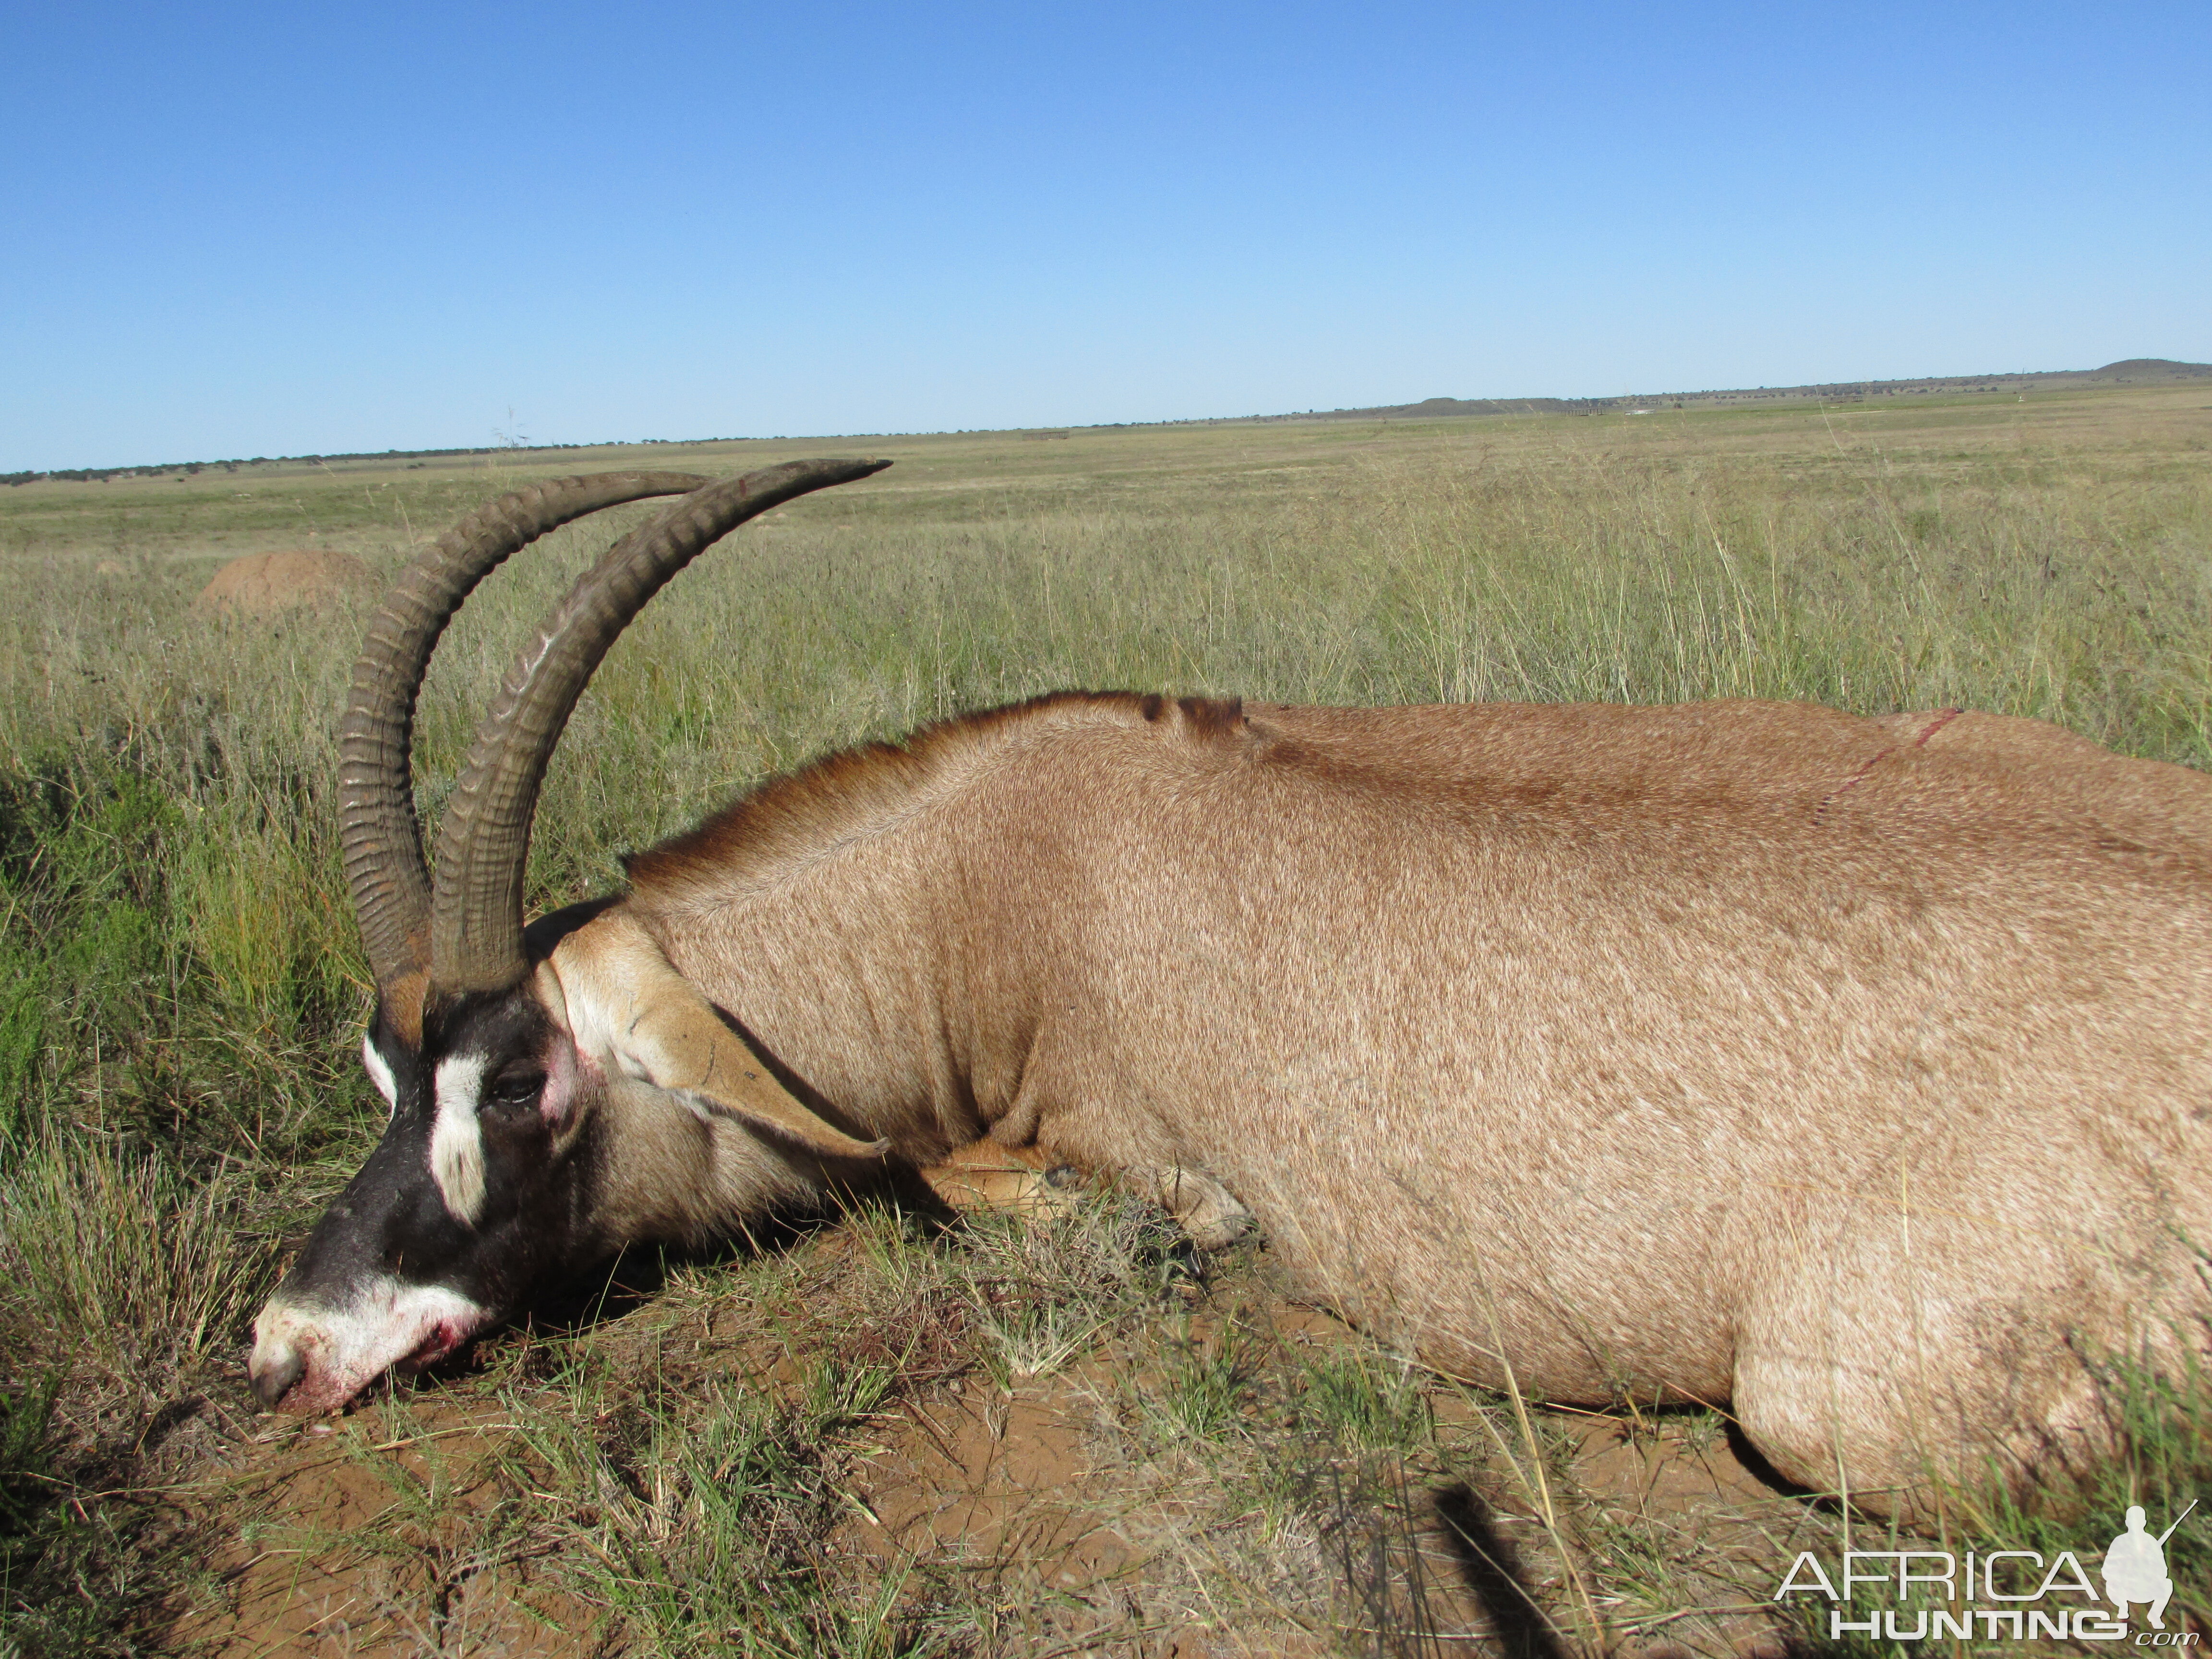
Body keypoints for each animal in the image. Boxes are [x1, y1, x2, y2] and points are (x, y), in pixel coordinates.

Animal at [251, 462, 2212, 1513]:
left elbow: (1008, 1201)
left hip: (1825, 1388)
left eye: (522, 1082)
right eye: (378, 1067)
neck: (1011, 876)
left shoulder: (1132, 1167)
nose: (287, 1347)